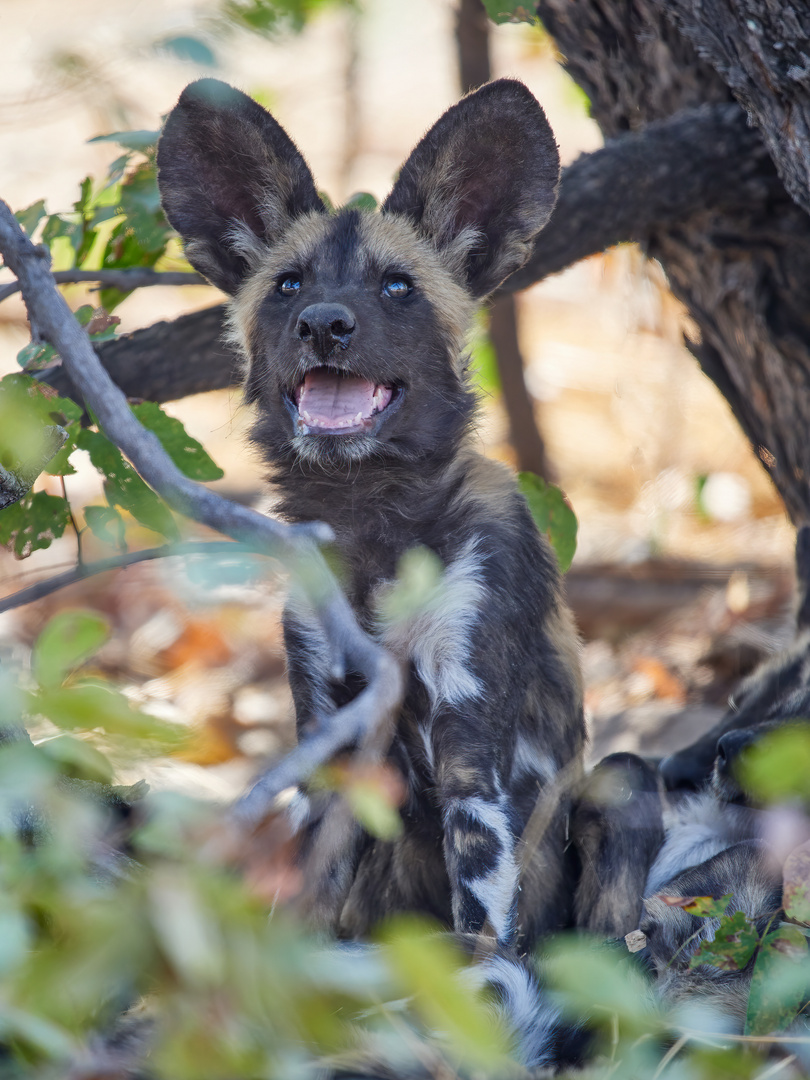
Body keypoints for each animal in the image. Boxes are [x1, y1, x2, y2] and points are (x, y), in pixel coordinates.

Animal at [155, 82, 587, 946]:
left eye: (397, 287)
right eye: (288, 285)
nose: (325, 323)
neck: (372, 521)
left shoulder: (471, 756)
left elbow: (481, 932)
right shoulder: (330, 741)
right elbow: (303, 908)